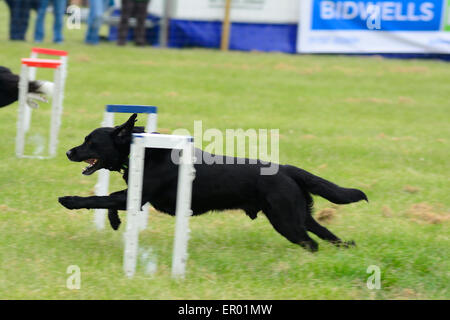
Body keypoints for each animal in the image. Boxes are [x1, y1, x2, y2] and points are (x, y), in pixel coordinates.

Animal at [59, 114, 370, 251]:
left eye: (90, 141)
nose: (68, 152)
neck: (146, 150)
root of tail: (287, 169)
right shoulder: (131, 196)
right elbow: (108, 199)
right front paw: (114, 222)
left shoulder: (136, 195)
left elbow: (98, 198)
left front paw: (69, 201)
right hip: (300, 215)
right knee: (327, 234)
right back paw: (346, 247)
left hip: (286, 221)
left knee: (311, 242)